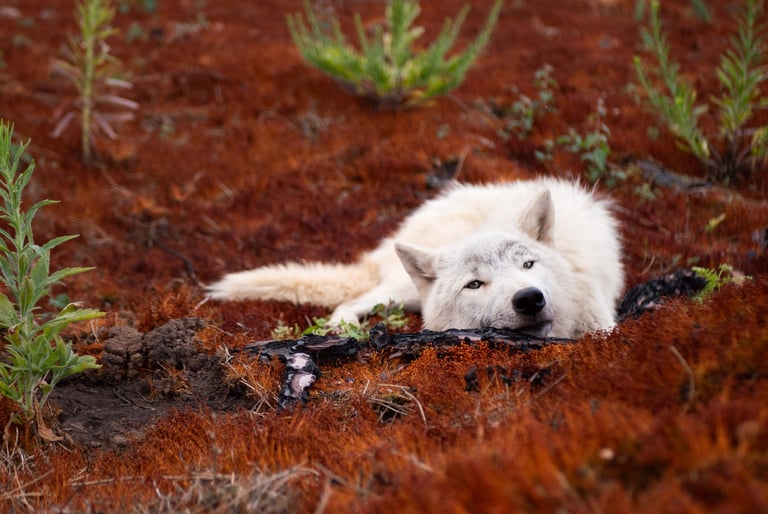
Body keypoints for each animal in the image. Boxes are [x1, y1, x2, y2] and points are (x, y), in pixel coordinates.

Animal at [206, 178, 624, 338]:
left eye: (528, 265)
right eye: (475, 284)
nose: (529, 298)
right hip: (398, 291)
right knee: (349, 302)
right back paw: (343, 329)